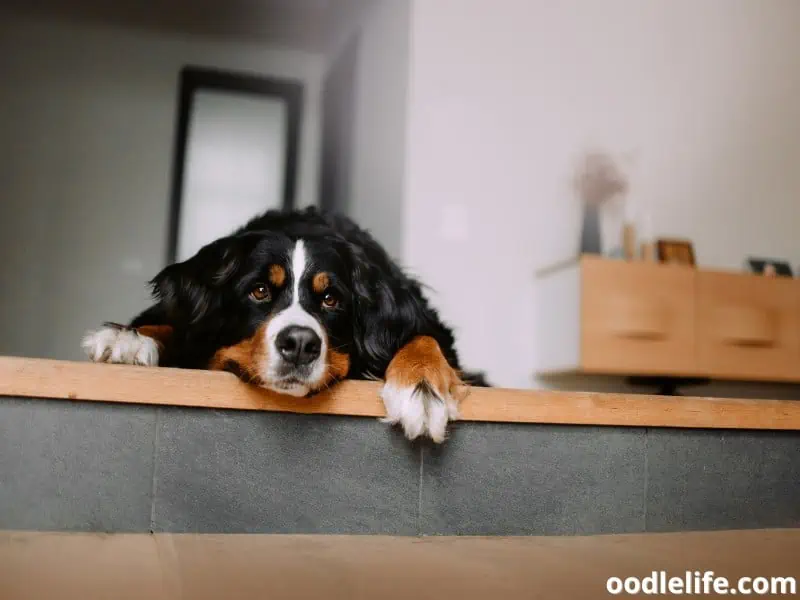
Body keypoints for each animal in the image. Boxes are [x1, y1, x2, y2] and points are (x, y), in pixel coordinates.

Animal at [84, 209, 490, 442]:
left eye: (331, 299)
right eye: (260, 290)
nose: (299, 344)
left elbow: (422, 336)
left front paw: (422, 391)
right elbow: (172, 325)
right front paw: (129, 338)